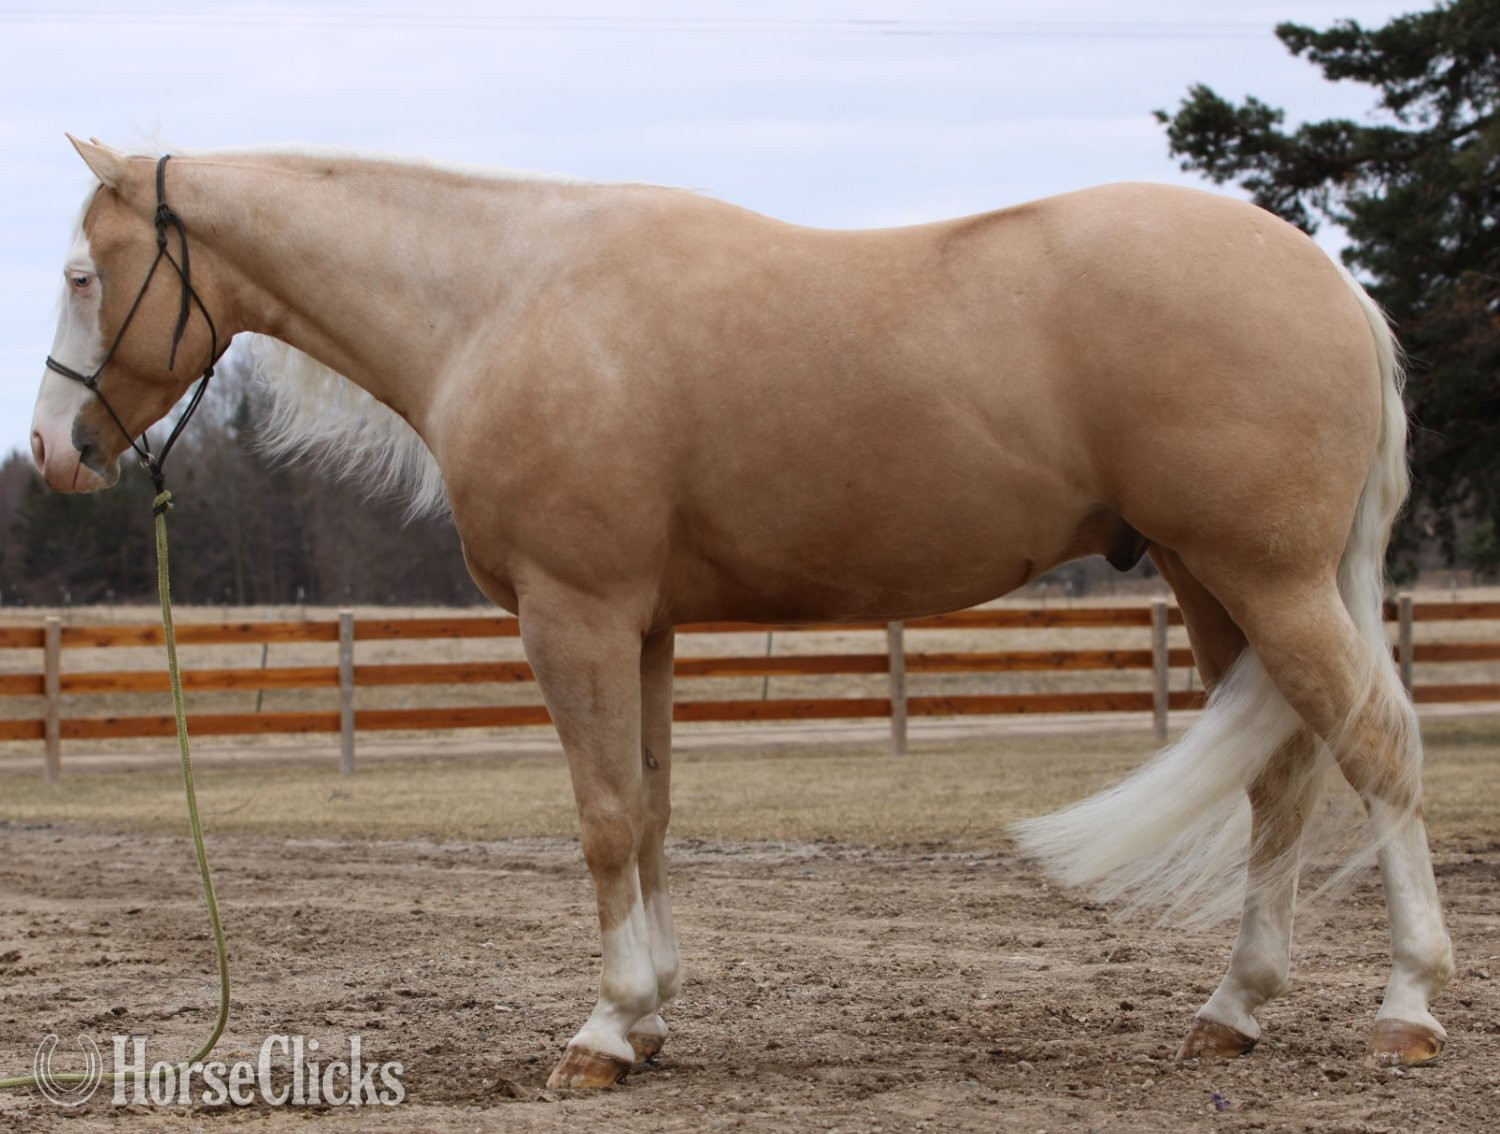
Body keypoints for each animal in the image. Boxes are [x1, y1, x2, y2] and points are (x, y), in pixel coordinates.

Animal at [30, 137, 1453, 1087]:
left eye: (85, 274)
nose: (52, 450)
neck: (502, 299)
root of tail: (1332, 283)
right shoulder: (644, 626)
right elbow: (654, 813)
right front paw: (652, 1016)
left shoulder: (575, 617)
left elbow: (605, 820)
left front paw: (602, 1032)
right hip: (1215, 586)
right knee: (1282, 780)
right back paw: (1232, 1010)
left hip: (1266, 580)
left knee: (1381, 755)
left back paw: (1407, 1008)